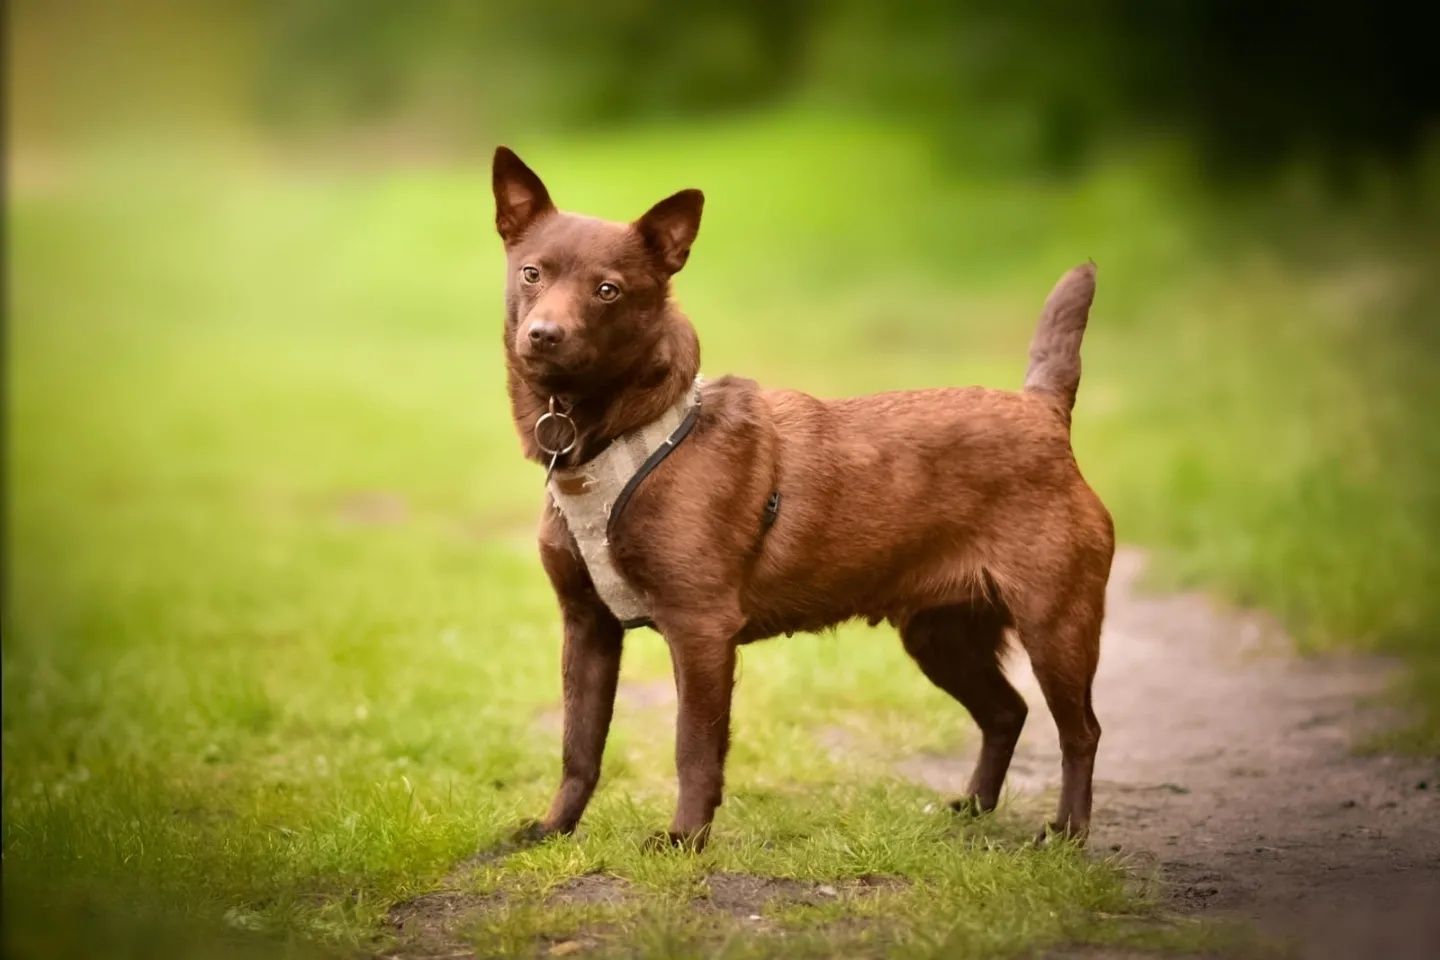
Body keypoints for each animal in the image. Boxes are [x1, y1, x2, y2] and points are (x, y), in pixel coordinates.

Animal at [495, 144, 1111, 846]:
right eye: (532, 274)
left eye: (608, 289)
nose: (544, 334)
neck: (615, 439)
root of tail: (1044, 410)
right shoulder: (587, 626)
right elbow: (580, 744)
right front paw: (554, 829)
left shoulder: (700, 630)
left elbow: (693, 746)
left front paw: (685, 839)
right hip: (939, 634)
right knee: (1006, 712)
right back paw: (975, 806)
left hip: (1055, 625)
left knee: (1080, 730)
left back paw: (1067, 833)